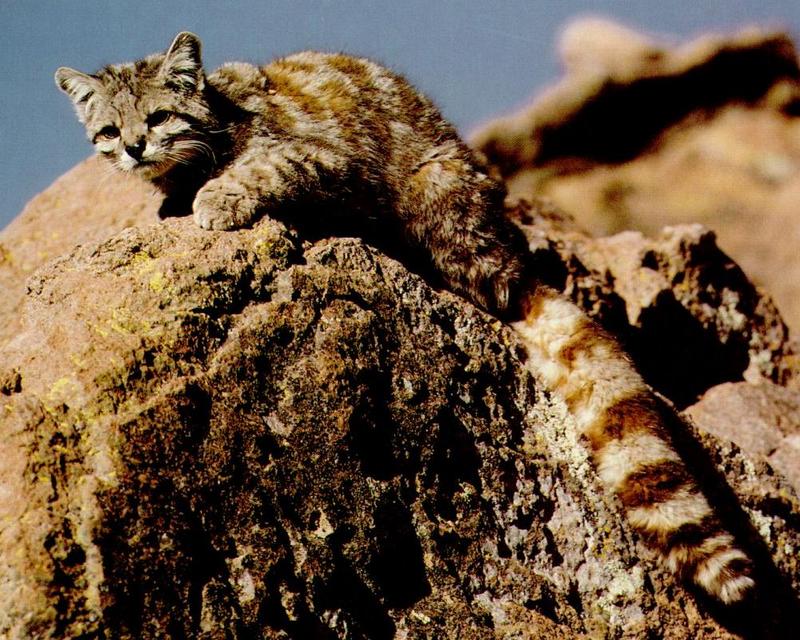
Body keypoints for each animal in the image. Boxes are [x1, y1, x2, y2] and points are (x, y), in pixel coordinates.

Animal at [56, 31, 756, 604]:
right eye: (111, 130)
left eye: (158, 116)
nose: (136, 148)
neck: (217, 118)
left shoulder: (320, 156)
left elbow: (261, 167)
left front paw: (215, 198)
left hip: (437, 200)